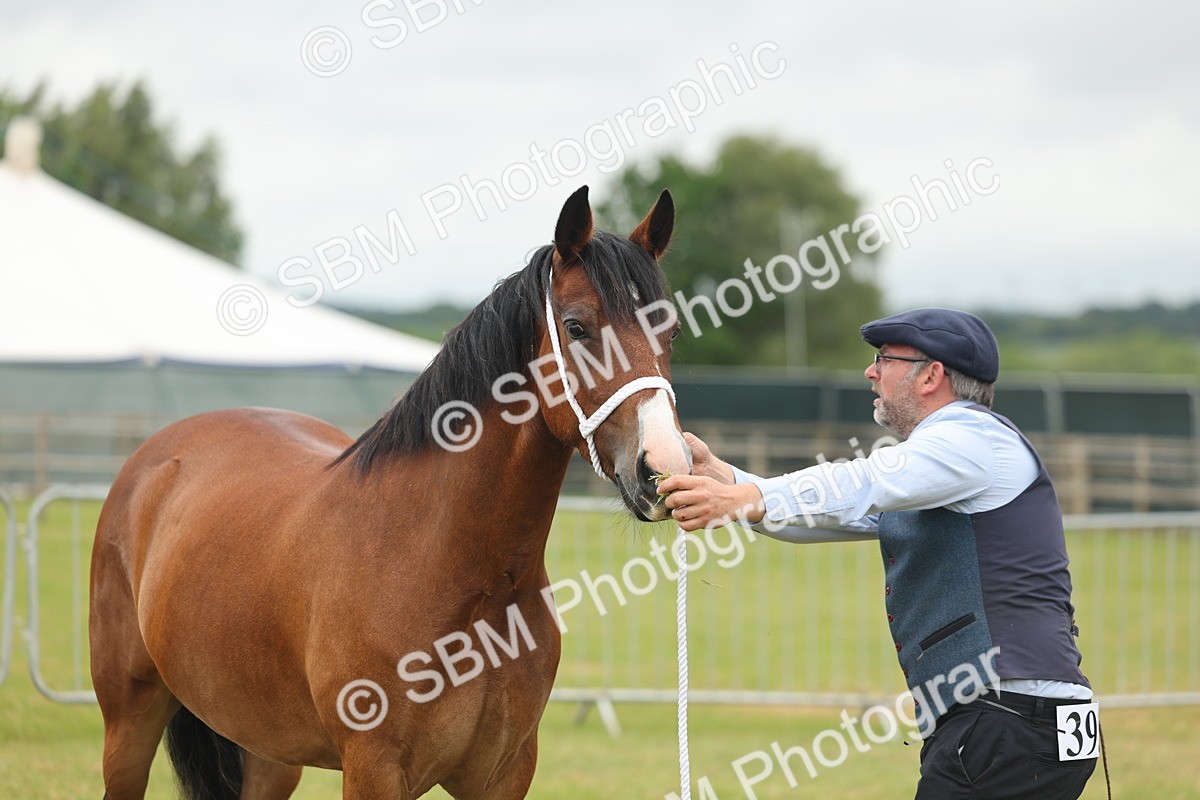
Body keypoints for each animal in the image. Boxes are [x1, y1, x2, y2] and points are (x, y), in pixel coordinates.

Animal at [89, 185, 691, 799]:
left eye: (670, 332)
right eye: (576, 327)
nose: (661, 468)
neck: (456, 570)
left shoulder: (504, 772)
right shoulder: (374, 769)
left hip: (269, 752)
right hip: (130, 720)